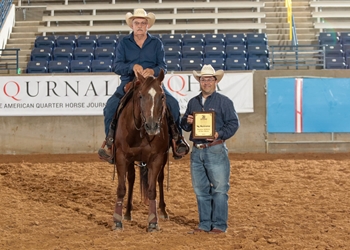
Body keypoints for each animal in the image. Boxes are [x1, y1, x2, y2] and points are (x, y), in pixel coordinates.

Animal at [111, 69, 167, 232]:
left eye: (162, 96)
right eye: (140, 96)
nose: (152, 126)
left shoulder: (157, 158)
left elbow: (152, 190)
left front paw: (153, 222)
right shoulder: (121, 156)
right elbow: (121, 188)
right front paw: (117, 221)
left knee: (160, 179)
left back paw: (163, 211)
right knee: (131, 179)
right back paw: (127, 212)